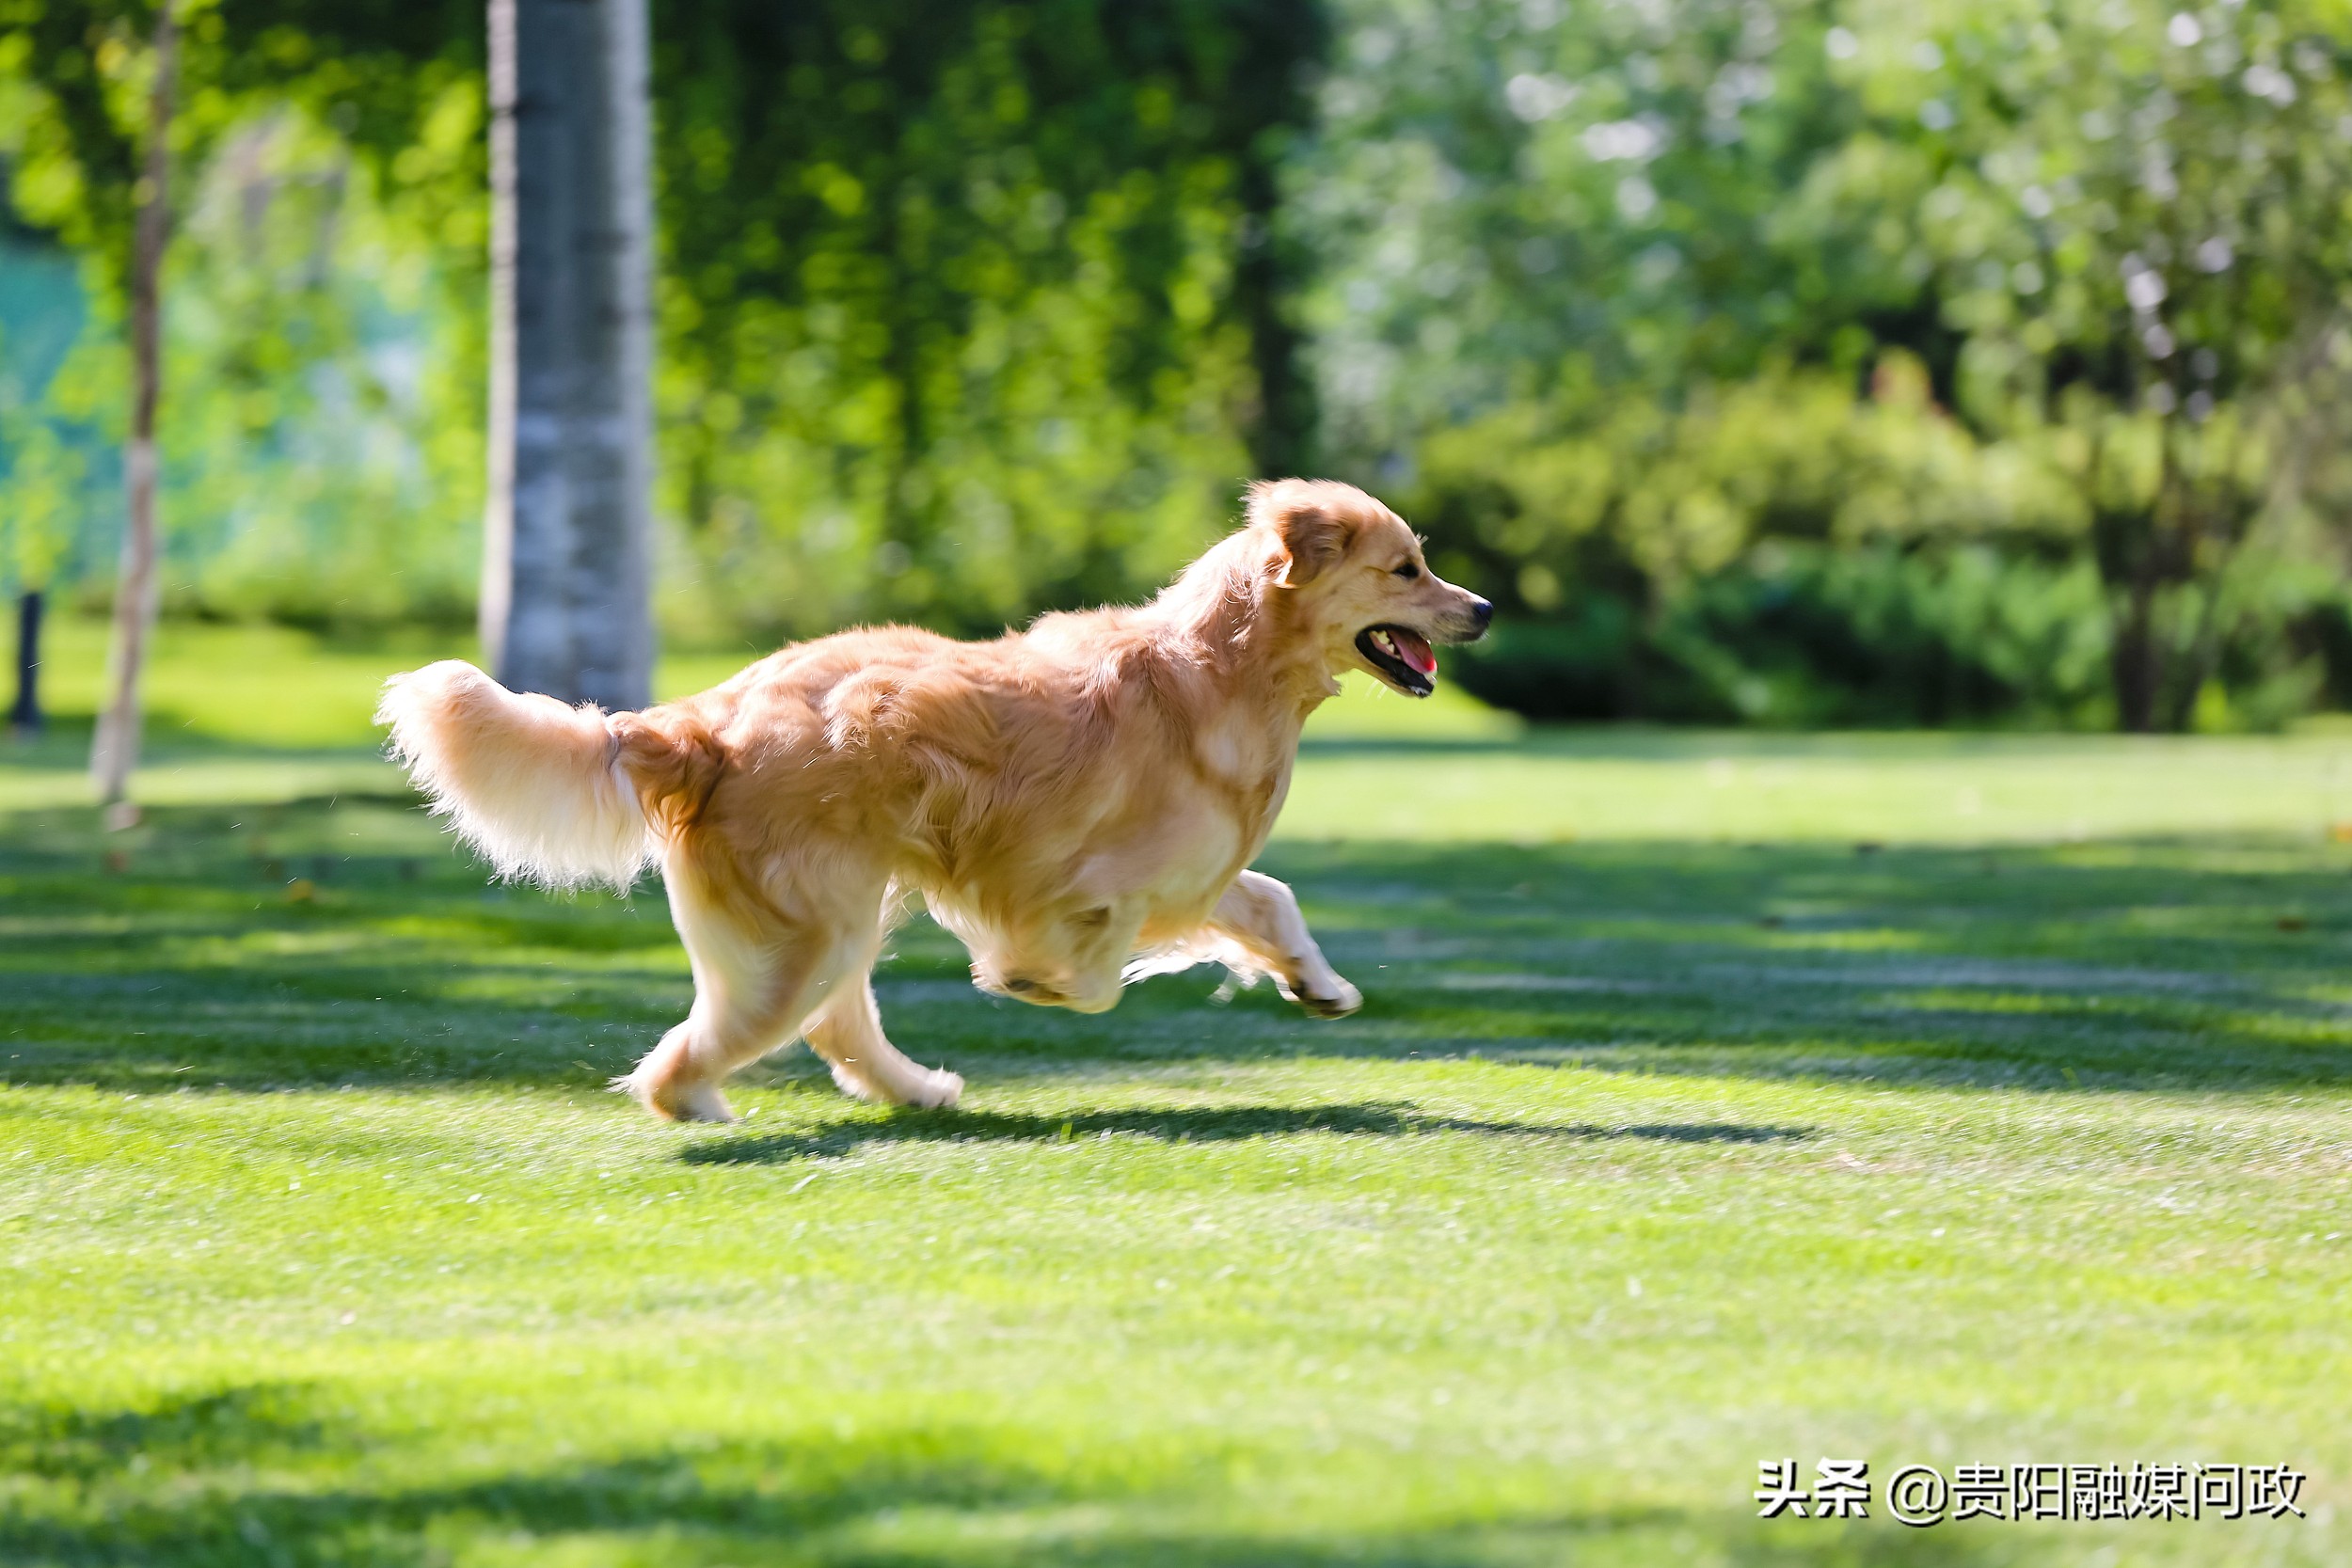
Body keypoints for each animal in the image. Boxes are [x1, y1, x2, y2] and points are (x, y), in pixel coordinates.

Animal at [381, 479, 1486, 1114]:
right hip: (814, 929)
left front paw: (1320, 986)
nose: (1481, 606)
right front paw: (1028, 978)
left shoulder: (1194, 872)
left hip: (836, 921)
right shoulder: (1087, 878)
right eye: (1407, 567)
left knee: (837, 1029)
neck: (1224, 665)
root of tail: (702, 722)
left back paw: (920, 1091)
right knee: (703, 1051)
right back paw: (698, 1107)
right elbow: (1095, 971)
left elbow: (1270, 900)